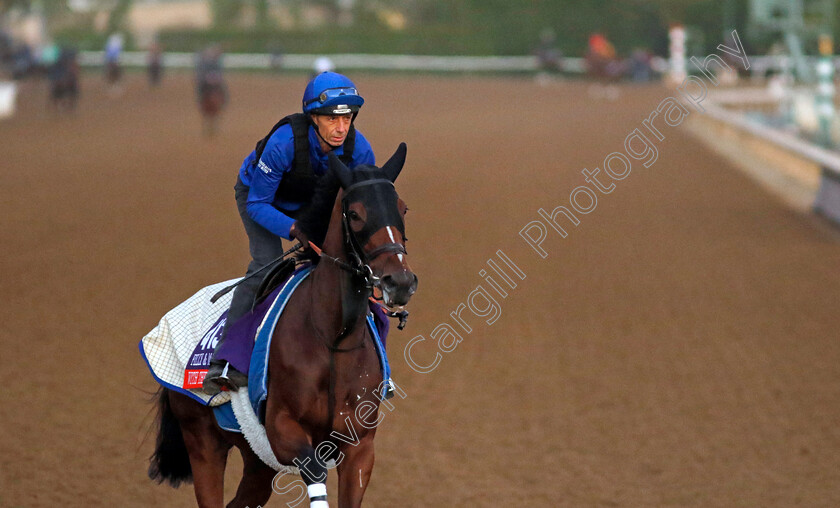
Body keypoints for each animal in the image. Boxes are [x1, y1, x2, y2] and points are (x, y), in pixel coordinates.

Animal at [148, 144, 420, 508]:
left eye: (402, 208)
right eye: (356, 213)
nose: (400, 281)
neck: (333, 339)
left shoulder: (359, 445)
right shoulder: (282, 430)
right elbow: (314, 470)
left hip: (256, 459)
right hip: (203, 441)